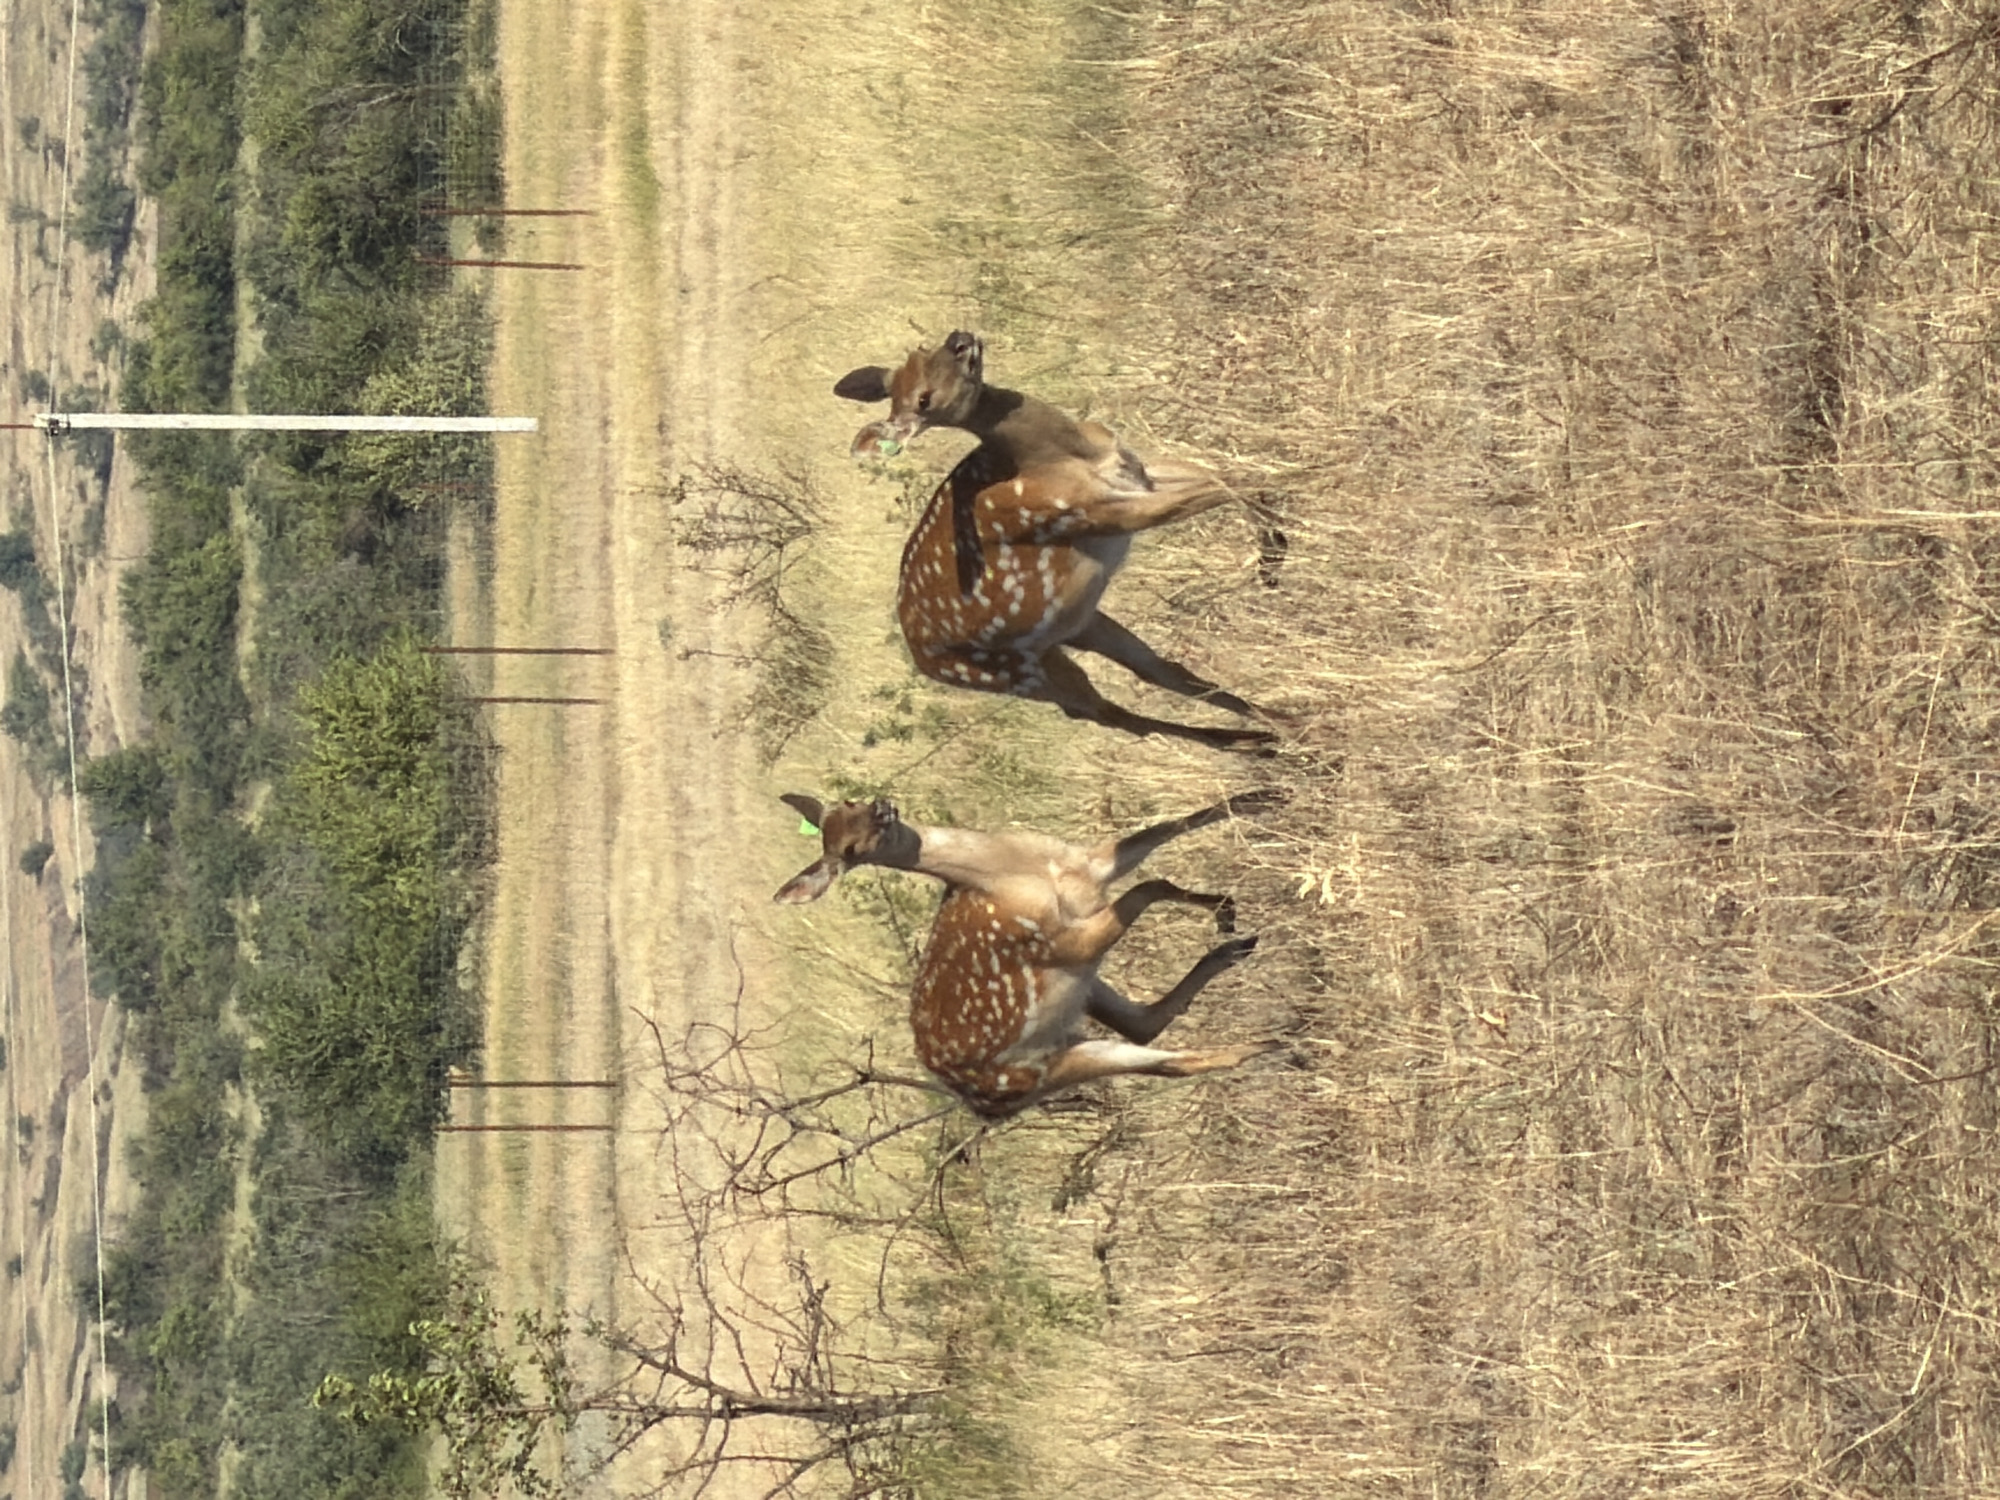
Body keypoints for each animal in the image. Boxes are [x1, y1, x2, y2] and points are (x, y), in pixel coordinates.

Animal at [773, 789, 1281, 1119]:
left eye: (848, 800)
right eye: (848, 850)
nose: (882, 808)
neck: (1019, 872)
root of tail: (980, 1106)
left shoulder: (1092, 867)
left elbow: (1169, 831)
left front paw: (1264, 797)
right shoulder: (1061, 941)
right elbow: (1150, 885)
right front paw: (1223, 908)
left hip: (1079, 994)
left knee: (1143, 1022)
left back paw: (1237, 955)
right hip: (1038, 1068)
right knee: (1167, 1057)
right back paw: (1274, 1043)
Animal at [834, 331, 1279, 753]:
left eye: (922, 349)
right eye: (922, 400)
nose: (960, 340)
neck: (1065, 453)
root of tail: (922, 660)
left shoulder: (1138, 473)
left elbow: (1225, 475)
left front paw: (1272, 550)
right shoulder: (1097, 513)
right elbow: (1232, 481)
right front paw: (1279, 541)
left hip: (1076, 626)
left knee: (1159, 672)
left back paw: (1270, 728)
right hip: (1013, 672)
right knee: (1105, 713)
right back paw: (1260, 743)